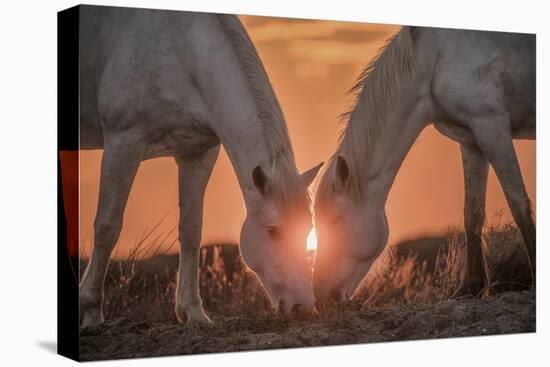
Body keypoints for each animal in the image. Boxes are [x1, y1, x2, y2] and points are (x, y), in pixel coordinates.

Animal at [77, 6, 322, 328]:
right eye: (272, 230)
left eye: (307, 228)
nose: (303, 307)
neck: (180, 49)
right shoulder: (123, 143)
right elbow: (107, 227)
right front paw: (91, 311)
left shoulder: (197, 154)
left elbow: (191, 230)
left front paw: (193, 312)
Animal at [314, 25, 536, 302]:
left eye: (334, 221)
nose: (319, 295)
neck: (432, 59)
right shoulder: (472, 141)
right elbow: (472, 213)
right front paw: (469, 287)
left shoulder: (492, 128)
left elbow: (519, 205)